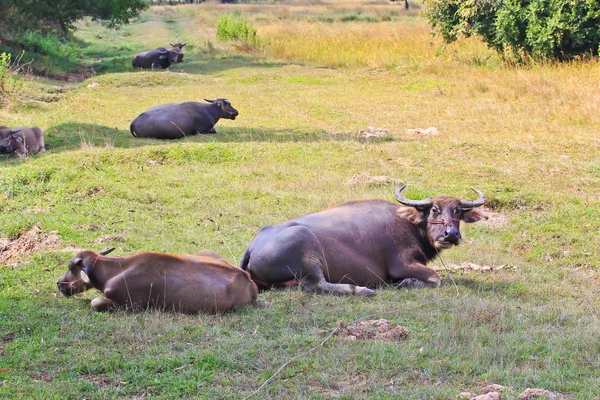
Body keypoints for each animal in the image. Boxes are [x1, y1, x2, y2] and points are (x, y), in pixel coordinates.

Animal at [240, 186, 488, 296]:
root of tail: (254, 245)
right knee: (316, 285)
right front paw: (407, 282)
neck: (408, 224)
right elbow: (436, 279)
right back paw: (361, 290)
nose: (451, 234)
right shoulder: (403, 264)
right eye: (435, 209)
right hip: (306, 249)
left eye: (458, 211)